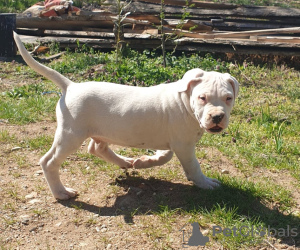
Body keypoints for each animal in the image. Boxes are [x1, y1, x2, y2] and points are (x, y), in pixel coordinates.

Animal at [14, 31, 239, 199]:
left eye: (228, 98)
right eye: (202, 98)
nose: (217, 117)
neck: (185, 102)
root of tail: (71, 86)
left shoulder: (173, 140)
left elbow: (164, 155)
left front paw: (144, 162)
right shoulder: (183, 145)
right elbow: (193, 165)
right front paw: (205, 183)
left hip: (98, 130)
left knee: (96, 147)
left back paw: (125, 161)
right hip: (71, 135)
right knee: (49, 161)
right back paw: (61, 192)